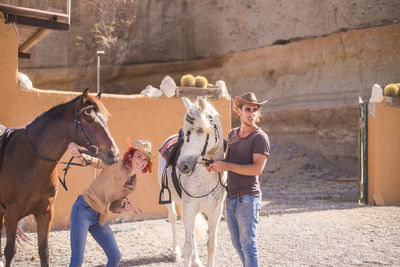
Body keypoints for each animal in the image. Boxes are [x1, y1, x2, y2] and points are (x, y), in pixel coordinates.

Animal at [0, 90, 119, 267]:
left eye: (104, 119)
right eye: (89, 119)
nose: (114, 154)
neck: (29, 159)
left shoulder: (46, 212)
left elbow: (44, 251)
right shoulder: (12, 214)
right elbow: (9, 251)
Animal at [158, 97, 227, 266]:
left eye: (201, 130)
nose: (182, 166)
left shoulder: (216, 211)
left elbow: (211, 245)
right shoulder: (189, 208)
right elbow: (187, 247)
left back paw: (196, 260)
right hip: (169, 200)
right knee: (173, 219)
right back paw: (175, 252)